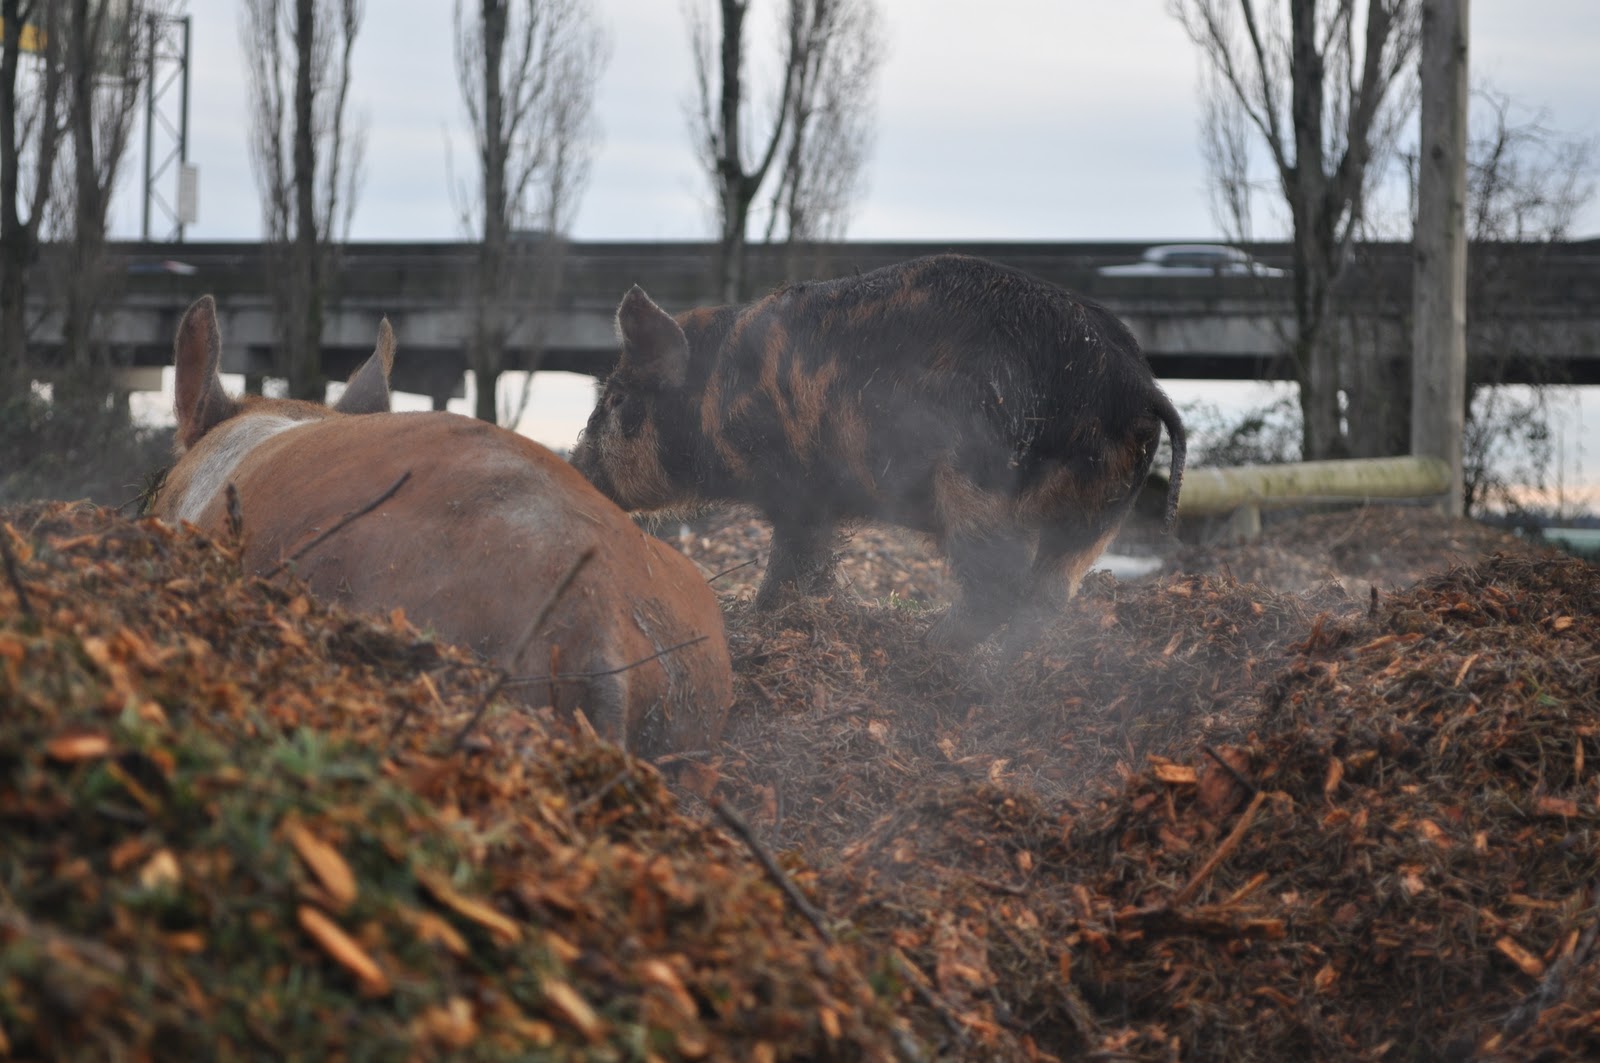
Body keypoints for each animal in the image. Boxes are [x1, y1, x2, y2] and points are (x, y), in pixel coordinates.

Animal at [570, 253, 1187, 649]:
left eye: (617, 399)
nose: (577, 467)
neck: (718, 396)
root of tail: (1135, 384)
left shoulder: (799, 490)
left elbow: (791, 559)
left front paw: (761, 618)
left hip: (981, 478)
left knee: (997, 583)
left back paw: (928, 650)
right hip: (1101, 512)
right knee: (1048, 594)